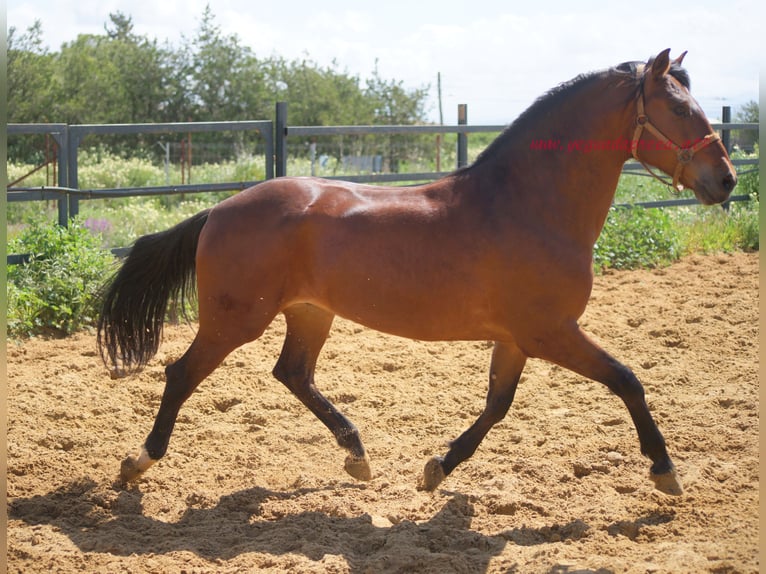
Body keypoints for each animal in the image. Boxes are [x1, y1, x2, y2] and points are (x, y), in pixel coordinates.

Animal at [98, 49, 736, 496]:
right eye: (680, 108)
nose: (726, 180)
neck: (527, 205)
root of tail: (220, 210)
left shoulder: (517, 339)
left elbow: (498, 405)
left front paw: (437, 469)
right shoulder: (551, 332)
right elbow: (628, 380)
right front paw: (666, 470)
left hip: (310, 313)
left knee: (292, 374)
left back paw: (357, 456)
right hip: (235, 320)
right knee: (182, 373)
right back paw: (137, 464)